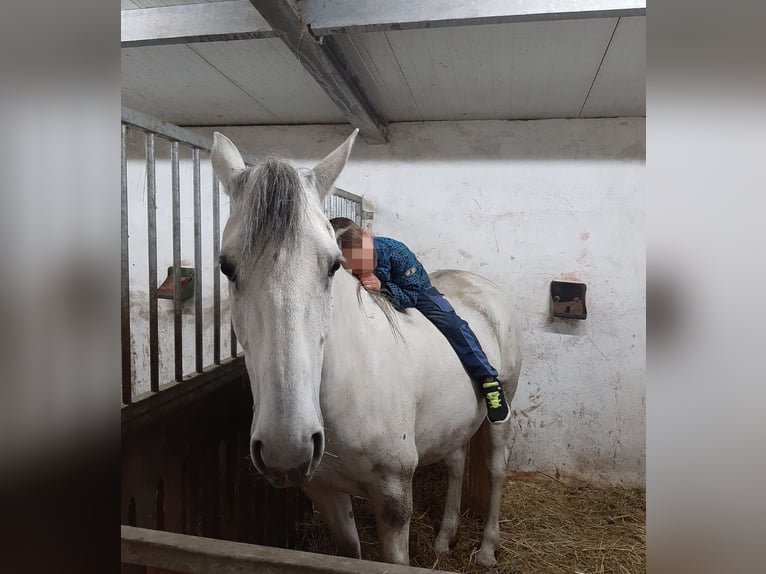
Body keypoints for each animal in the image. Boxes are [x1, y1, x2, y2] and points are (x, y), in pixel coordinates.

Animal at [212, 129, 520, 568]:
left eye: (331, 265)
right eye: (226, 266)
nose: (286, 449)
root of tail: (483, 286)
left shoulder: (393, 496)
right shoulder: (326, 493)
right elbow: (349, 552)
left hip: (505, 403)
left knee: (496, 468)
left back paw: (487, 550)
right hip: (454, 420)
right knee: (457, 463)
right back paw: (445, 538)